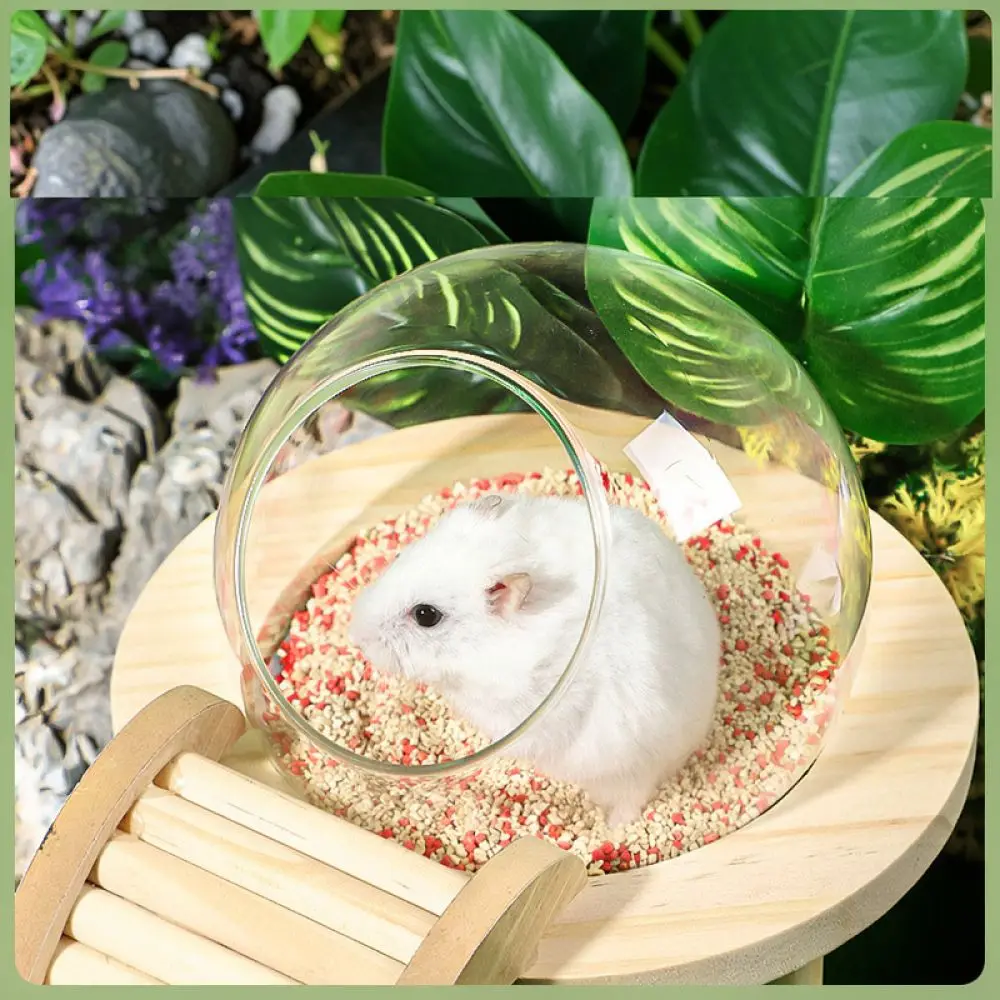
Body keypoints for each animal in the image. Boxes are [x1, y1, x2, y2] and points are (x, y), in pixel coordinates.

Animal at [347, 492, 722, 828]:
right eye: (398, 556)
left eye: (426, 615)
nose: (355, 636)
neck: (476, 652)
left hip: (627, 764)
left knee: (632, 798)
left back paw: (612, 830)